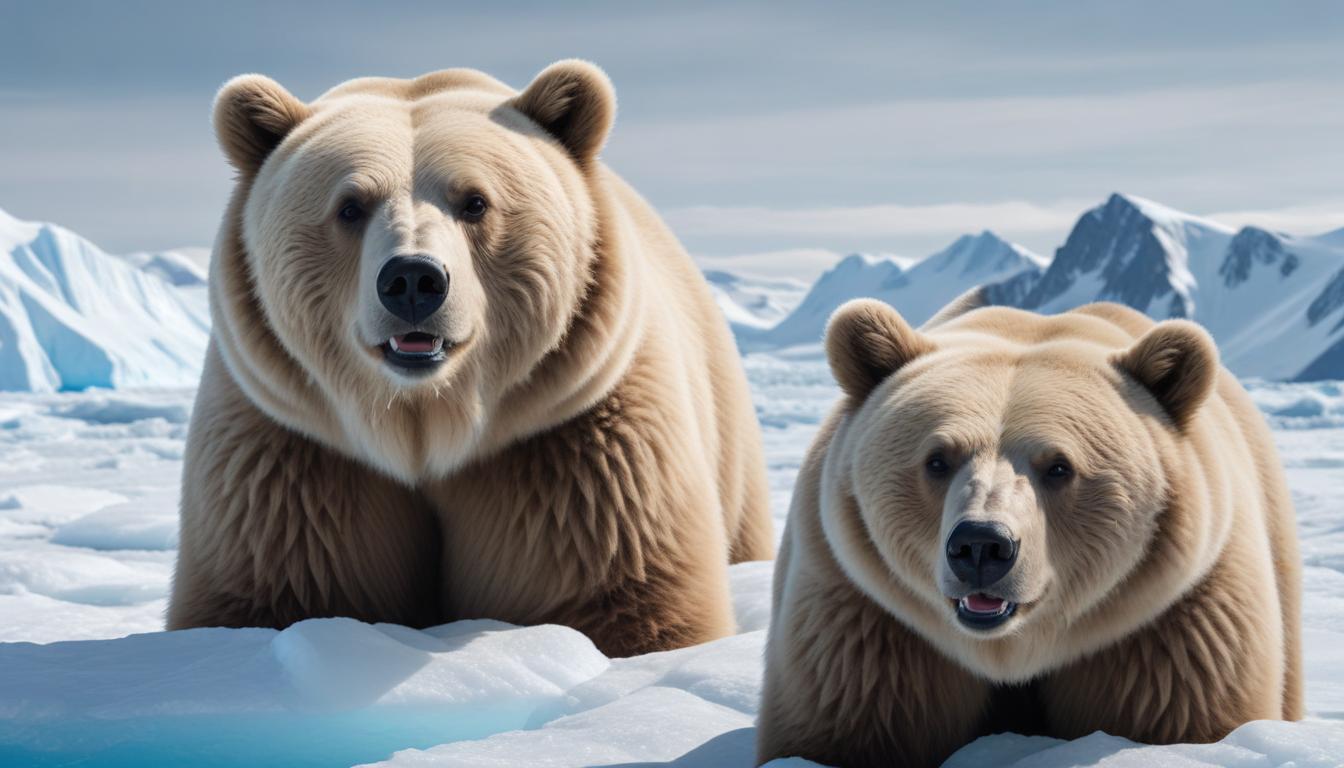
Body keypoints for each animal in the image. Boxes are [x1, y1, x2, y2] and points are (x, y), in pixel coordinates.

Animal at [166, 61, 774, 657]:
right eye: (350, 206)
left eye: (475, 201)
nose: (413, 280)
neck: (426, 424)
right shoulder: (291, 454)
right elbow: (270, 591)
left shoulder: (574, 449)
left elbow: (620, 597)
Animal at [757, 293, 1302, 767]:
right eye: (937, 459)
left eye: (1059, 466)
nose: (981, 546)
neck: (1010, 649)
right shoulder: (865, 621)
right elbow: (848, 728)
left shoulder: (1169, 626)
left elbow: (1177, 715)